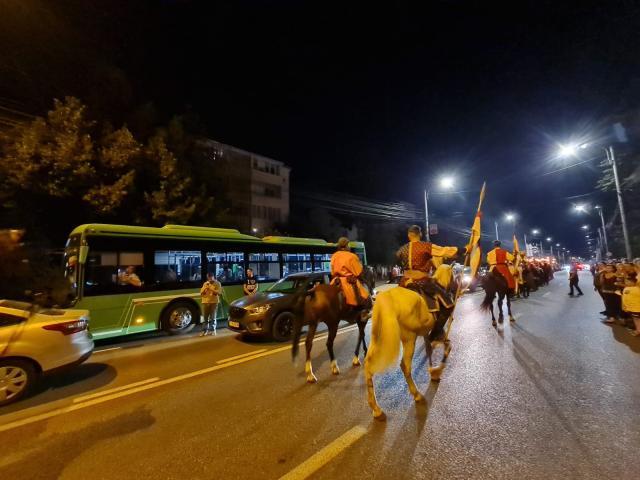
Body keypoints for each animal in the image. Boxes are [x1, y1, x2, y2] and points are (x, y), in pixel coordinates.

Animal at [362, 262, 452, 420]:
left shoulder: (425, 333)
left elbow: (429, 349)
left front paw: (433, 372)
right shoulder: (434, 330)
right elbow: (445, 343)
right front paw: (438, 368)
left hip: (376, 339)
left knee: (368, 365)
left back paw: (376, 409)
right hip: (409, 338)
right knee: (405, 365)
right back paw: (417, 395)